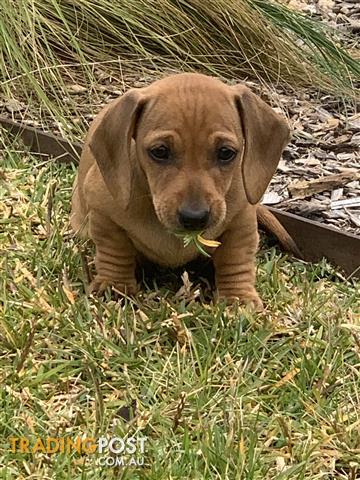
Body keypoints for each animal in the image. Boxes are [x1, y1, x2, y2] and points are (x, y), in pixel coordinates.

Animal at [71, 73, 292, 310]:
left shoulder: (241, 220)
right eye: (159, 151)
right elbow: (114, 249)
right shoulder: (103, 211)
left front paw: (237, 297)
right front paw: (114, 285)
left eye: (226, 153)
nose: (194, 218)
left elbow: (236, 258)